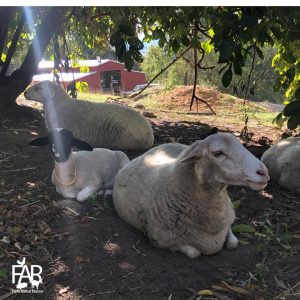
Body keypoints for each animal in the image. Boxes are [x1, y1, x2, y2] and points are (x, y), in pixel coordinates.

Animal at [113, 134, 270, 258]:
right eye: (218, 153)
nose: (263, 172)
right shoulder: (161, 241)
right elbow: (195, 253)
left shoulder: (228, 219)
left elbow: (233, 242)